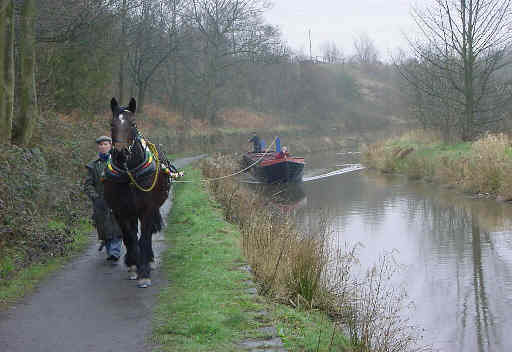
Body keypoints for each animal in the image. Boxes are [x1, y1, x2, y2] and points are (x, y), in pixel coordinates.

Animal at [103, 97, 173, 288]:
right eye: (111, 123)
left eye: (133, 123)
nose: (120, 153)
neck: (130, 174)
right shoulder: (120, 211)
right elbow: (130, 238)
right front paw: (134, 266)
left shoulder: (147, 209)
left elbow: (144, 238)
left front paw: (144, 272)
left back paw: (148, 259)